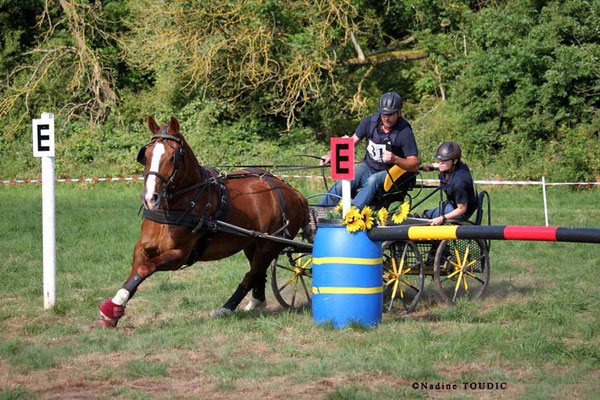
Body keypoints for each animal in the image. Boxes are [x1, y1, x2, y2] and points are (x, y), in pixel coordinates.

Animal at [92, 115, 314, 328]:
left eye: (172, 157)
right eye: (145, 155)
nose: (150, 198)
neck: (178, 204)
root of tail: (290, 190)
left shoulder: (179, 255)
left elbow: (144, 269)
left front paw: (112, 309)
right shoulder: (143, 246)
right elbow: (135, 271)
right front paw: (113, 311)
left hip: (270, 245)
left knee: (252, 274)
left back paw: (225, 308)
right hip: (254, 242)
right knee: (258, 272)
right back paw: (255, 302)